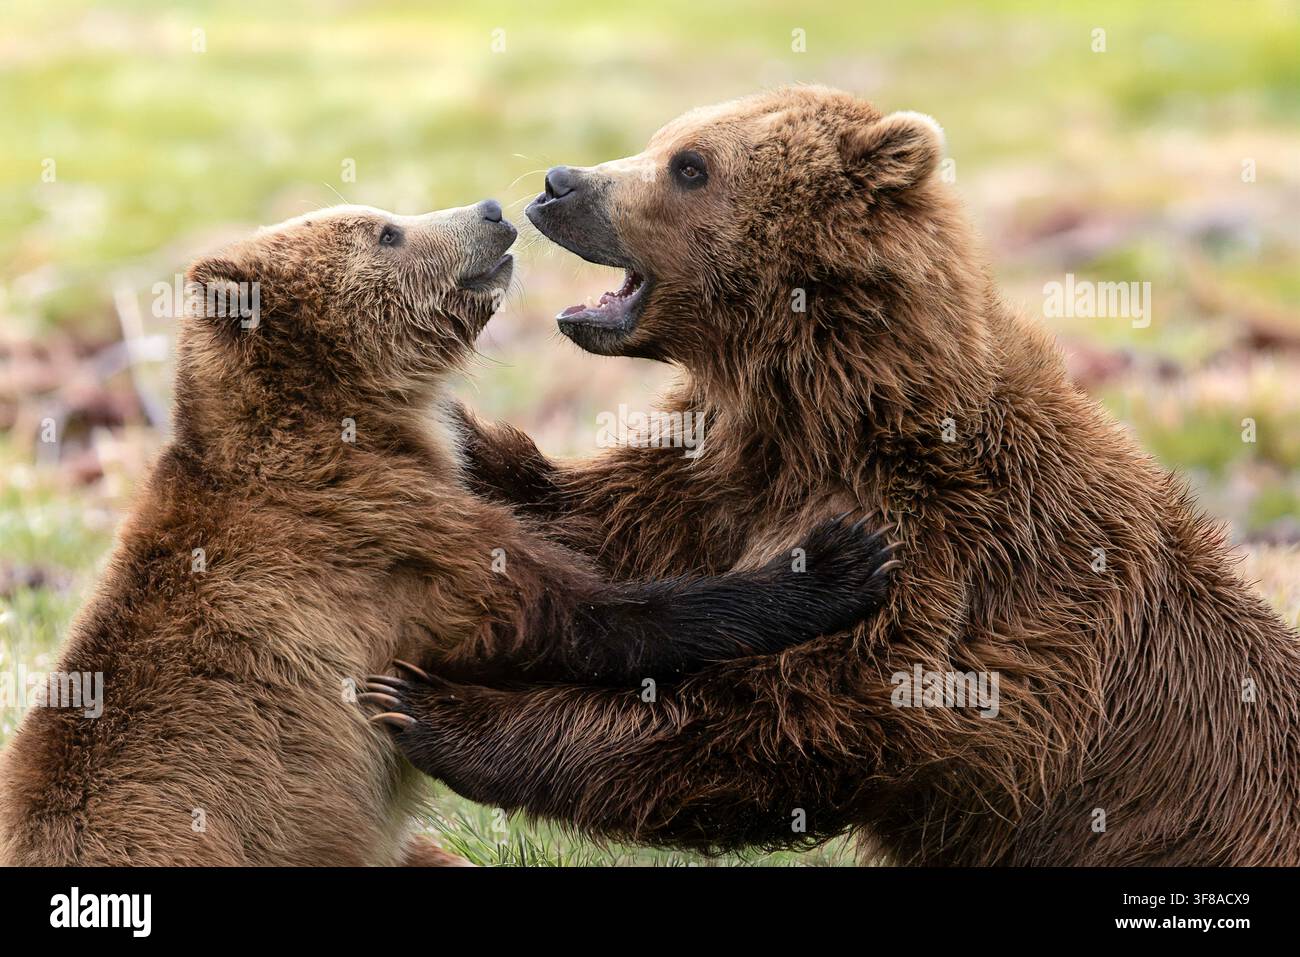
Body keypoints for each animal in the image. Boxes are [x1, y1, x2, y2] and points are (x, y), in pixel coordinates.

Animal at [0, 199, 898, 866]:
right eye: (386, 230)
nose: (493, 210)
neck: (349, 424)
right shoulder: (386, 540)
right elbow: (589, 619)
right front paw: (837, 559)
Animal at [371, 87, 1300, 866]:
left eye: (691, 165)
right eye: (665, 137)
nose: (559, 184)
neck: (826, 418)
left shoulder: (959, 551)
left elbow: (781, 716)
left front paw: (434, 705)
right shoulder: (722, 484)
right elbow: (605, 540)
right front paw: (458, 436)